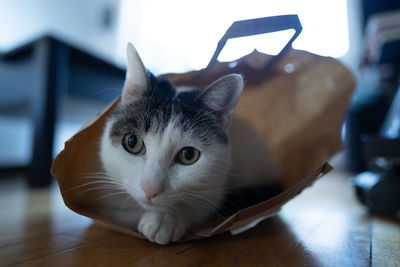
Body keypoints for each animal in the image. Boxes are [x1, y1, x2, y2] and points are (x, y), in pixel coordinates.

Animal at [99, 43, 278, 246]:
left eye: (188, 155)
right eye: (132, 142)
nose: (150, 190)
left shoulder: (217, 188)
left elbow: (199, 204)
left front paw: (165, 219)